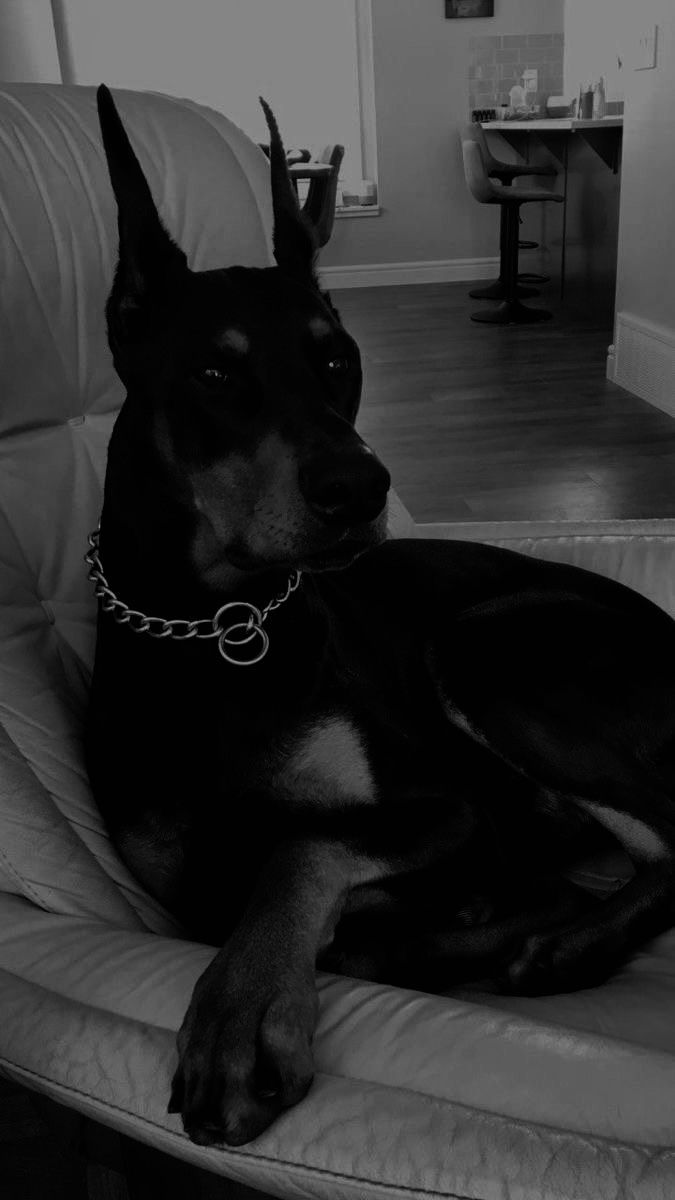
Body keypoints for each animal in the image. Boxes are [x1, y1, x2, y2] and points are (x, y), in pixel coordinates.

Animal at [85, 84, 675, 1142]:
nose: (360, 488)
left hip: (489, 651)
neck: (220, 628)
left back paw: (564, 943)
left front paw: (241, 1013)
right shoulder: (185, 878)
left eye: (338, 362)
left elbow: (299, 846)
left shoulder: (445, 805)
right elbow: (290, 886)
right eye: (214, 375)